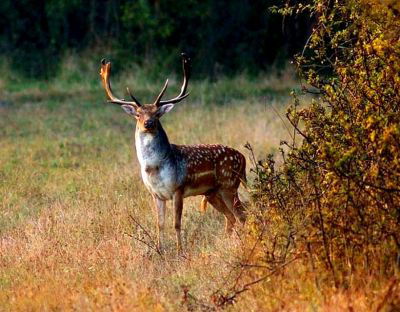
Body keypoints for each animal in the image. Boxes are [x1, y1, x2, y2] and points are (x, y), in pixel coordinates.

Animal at [98, 54, 245, 254]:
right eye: (138, 114)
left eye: (157, 113)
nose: (148, 123)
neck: (155, 168)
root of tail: (243, 158)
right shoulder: (156, 194)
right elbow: (160, 223)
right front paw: (159, 250)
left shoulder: (178, 189)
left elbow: (176, 223)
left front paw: (179, 251)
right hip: (212, 192)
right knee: (231, 217)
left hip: (229, 185)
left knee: (242, 214)